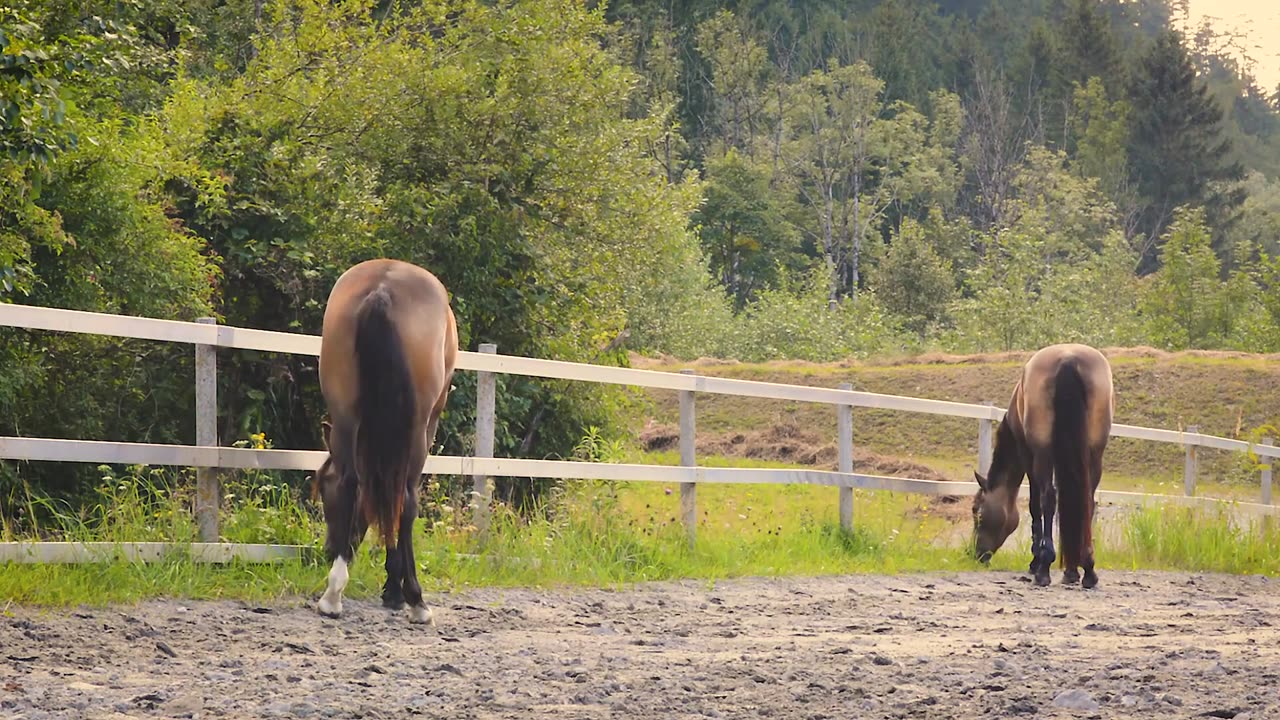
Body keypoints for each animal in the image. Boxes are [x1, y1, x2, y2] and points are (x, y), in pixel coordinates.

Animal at [312, 257, 458, 622]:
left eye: (323, 491)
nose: (327, 549)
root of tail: (382, 289)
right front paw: (397, 591)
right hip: (417, 429)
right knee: (405, 497)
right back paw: (416, 602)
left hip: (345, 413)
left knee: (351, 481)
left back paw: (332, 595)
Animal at [972, 343, 1116, 589]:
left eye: (977, 511)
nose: (976, 554)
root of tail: (1068, 359)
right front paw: (1071, 570)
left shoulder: (1028, 456)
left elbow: (1035, 506)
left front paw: (1035, 561)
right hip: (1094, 453)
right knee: (1086, 499)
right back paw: (1085, 569)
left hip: (1043, 454)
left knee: (1048, 498)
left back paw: (1044, 570)